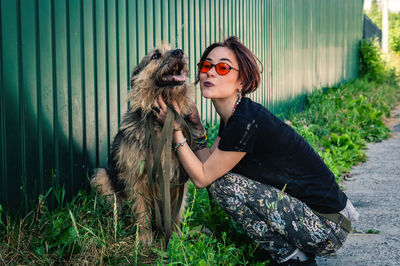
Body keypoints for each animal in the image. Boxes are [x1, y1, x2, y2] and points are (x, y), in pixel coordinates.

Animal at [91, 43, 197, 245]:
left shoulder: (178, 178)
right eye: (155, 55)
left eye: (175, 48)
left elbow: (177, 210)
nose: (180, 52)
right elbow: (141, 210)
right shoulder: (136, 177)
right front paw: (144, 238)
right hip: (100, 175)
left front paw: (176, 238)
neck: (160, 124)